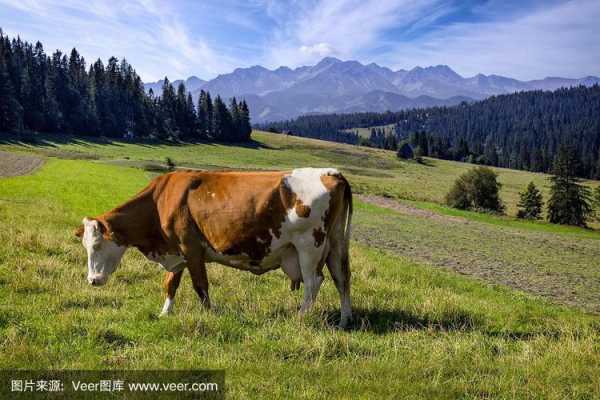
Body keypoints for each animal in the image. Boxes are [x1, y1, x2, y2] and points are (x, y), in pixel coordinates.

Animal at [77, 167, 354, 326]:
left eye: (98, 245)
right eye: (85, 246)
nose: (92, 280)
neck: (160, 200)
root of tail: (331, 173)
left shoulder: (191, 248)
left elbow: (200, 285)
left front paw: (209, 313)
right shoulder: (176, 250)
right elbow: (170, 284)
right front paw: (165, 313)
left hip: (309, 245)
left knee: (313, 282)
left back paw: (300, 317)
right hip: (336, 243)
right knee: (342, 278)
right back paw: (345, 320)